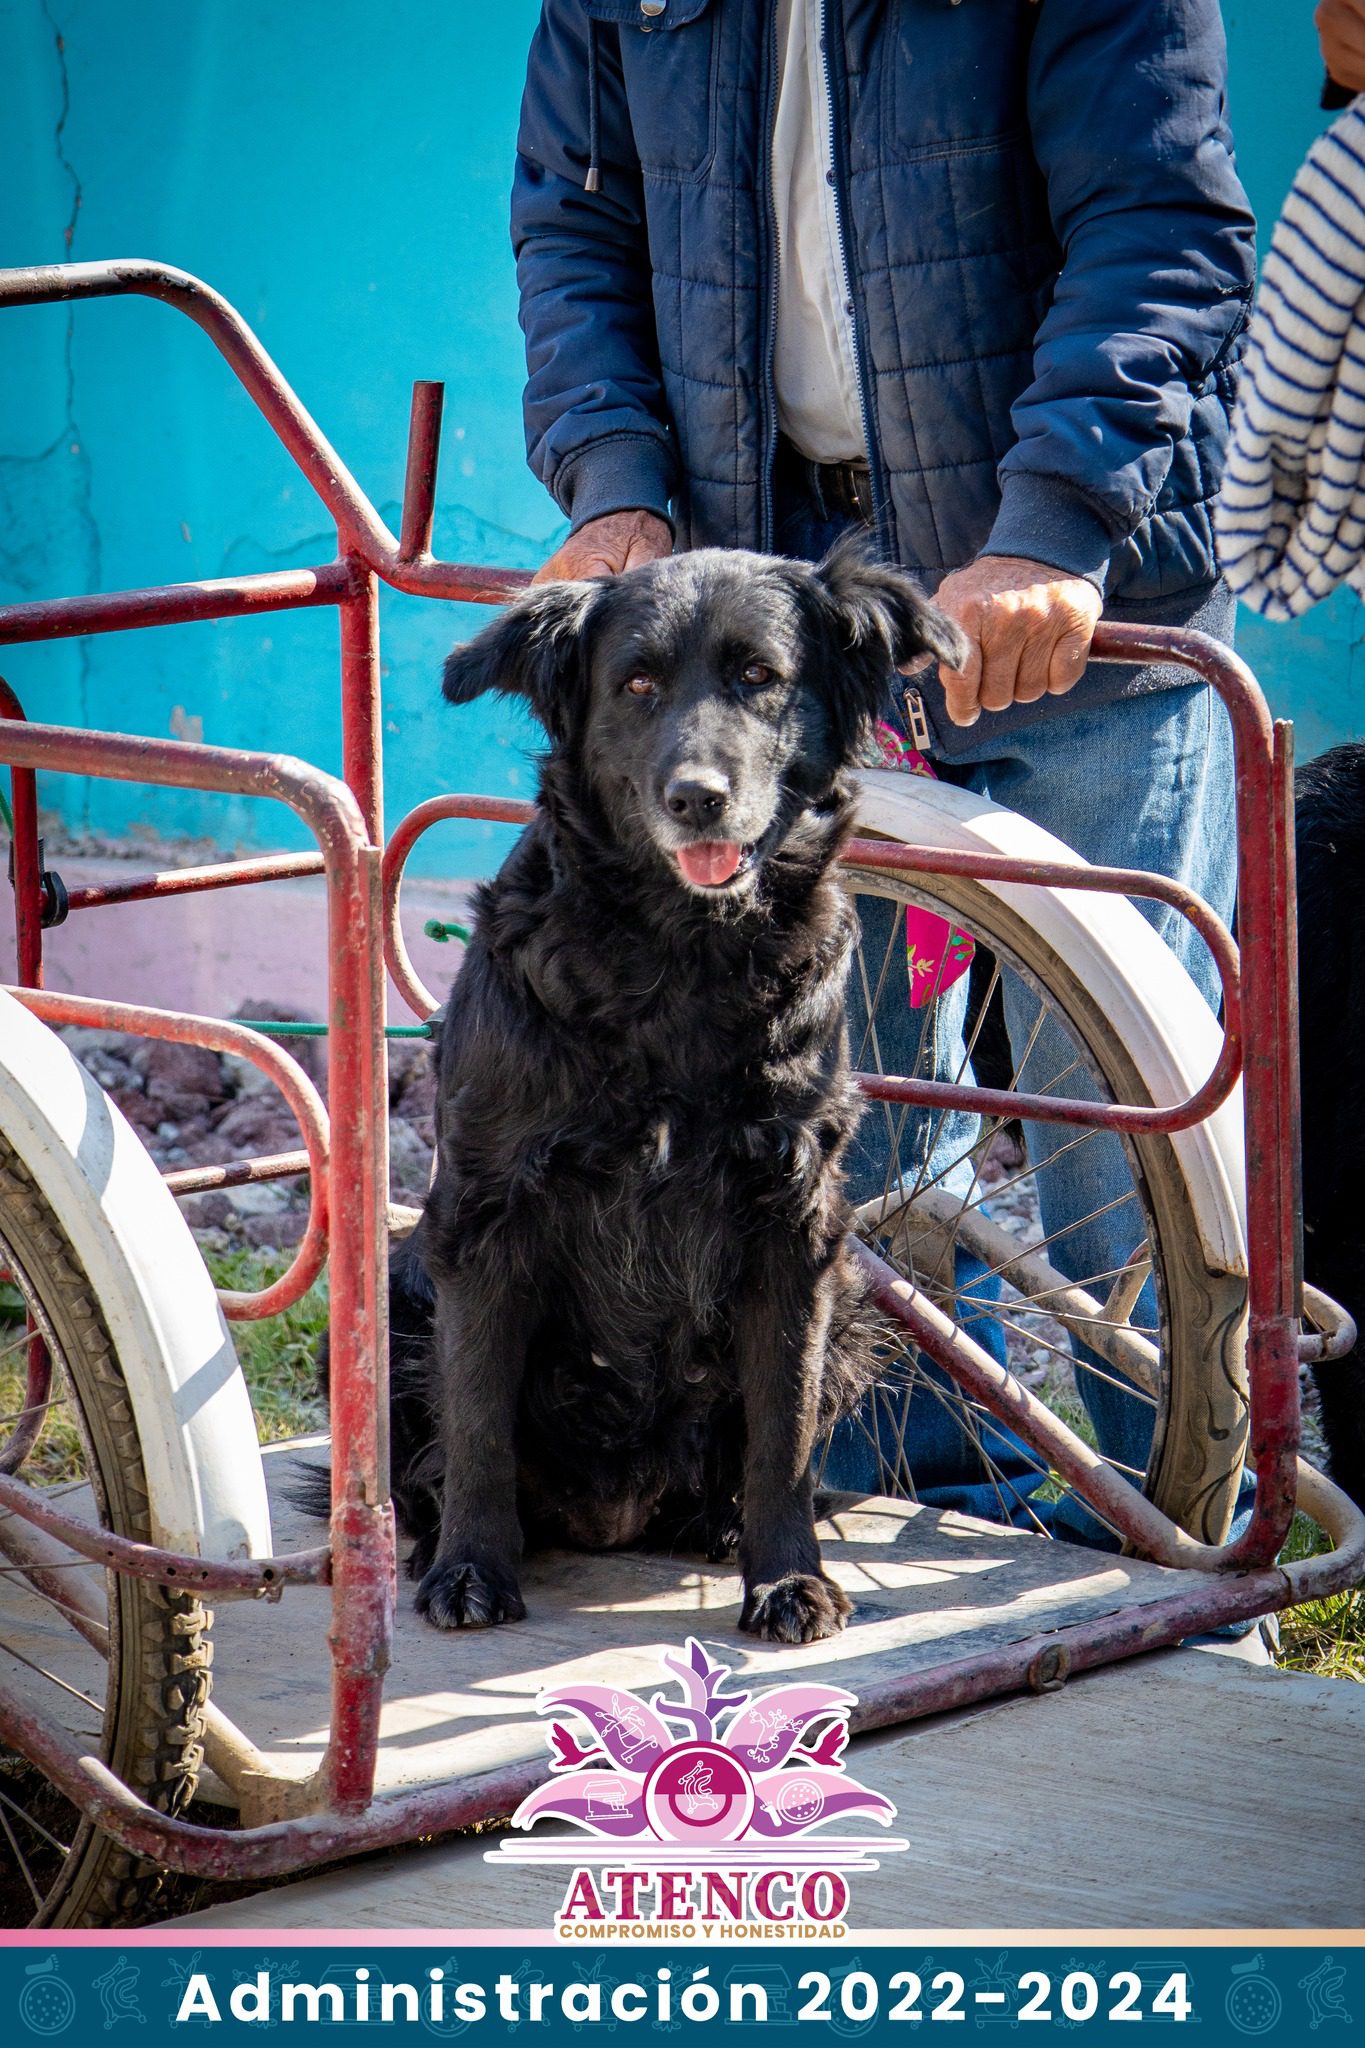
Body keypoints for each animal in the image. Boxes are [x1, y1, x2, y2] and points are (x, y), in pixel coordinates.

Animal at [362, 544, 961, 1646]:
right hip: (395, 1295)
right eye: (636, 684)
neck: (682, 954)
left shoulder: (795, 1225)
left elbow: (783, 1433)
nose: (697, 797)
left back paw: (717, 1524)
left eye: (760, 677)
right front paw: (469, 1566)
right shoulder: (485, 1214)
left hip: (857, 1306)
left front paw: (787, 1575)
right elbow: (476, 1419)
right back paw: (436, 1543)